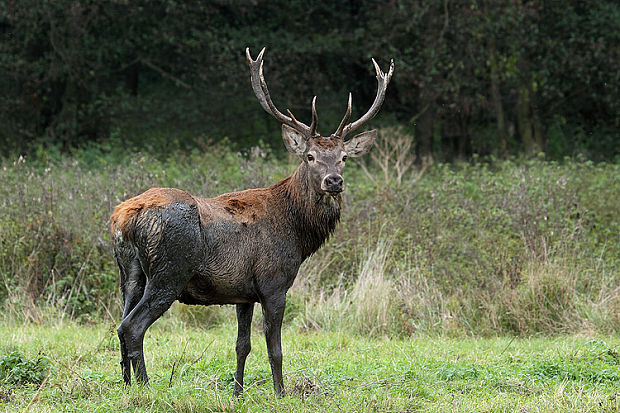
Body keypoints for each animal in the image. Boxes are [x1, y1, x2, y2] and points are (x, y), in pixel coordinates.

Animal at [111, 48, 392, 396]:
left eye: (343, 157)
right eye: (310, 156)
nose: (334, 181)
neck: (298, 232)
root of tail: (124, 217)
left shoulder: (242, 292)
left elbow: (241, 345)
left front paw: (237, 392)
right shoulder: (274, 282)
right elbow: (275, 348)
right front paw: (281, 393)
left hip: (129, 273)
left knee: (119, 325)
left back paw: (125, 386)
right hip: (169, 271)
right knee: (133, 326)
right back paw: (146, 387)